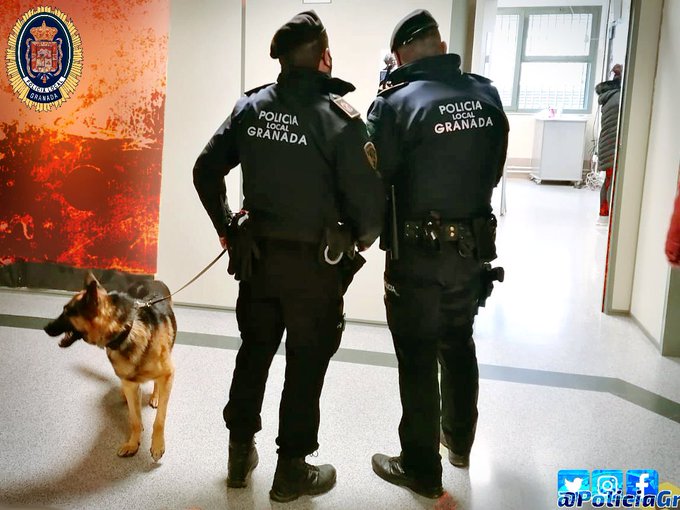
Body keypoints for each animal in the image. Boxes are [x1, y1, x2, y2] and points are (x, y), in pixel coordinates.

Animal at [44, 274, 177, 462]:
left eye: (67, 312)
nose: (45, 327)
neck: (126, 331)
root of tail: (151, 280)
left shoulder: (168, 374)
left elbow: (160, 419)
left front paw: (157, 445)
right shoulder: (130, 384)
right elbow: (135, 420)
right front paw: (133, 443)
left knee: (157, 384)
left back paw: (155, 396)